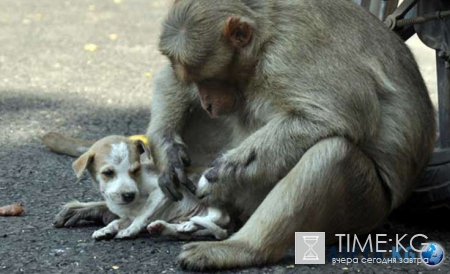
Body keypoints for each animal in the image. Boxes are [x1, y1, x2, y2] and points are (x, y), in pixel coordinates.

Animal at [71, 136, 230, 241]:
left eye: (135, 170)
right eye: (108, 173)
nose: (129, 195)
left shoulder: (161, 191)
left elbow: (143, 213)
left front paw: (130, 230)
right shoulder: (127, 216)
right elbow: (116, 222)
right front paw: (105, 230)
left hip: (204, 189)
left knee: (219, 217)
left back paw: (189, 224)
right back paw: (170, 227)